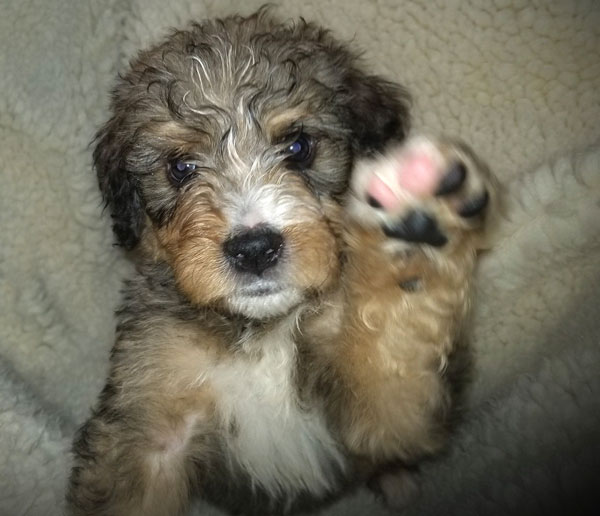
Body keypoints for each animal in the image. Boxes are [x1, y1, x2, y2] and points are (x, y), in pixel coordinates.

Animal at [67, 8, 496, 516]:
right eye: (181, 167)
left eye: (298, 146)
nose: (254, 248)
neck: (263, 332)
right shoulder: (149, 422)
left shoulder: (388, 411)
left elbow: (390, 346)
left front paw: (414, 224)